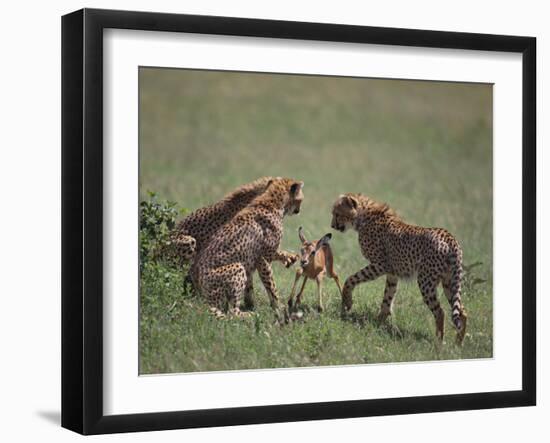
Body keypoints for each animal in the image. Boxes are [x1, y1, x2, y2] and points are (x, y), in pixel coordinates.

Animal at [195, 178, 306, 320]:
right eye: (300, 199)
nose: (299, 209)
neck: (272, 201)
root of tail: (205, 299)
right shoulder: (264, 258)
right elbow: (271, 285)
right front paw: (279, 306)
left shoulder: (261, 256)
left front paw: (289, 257)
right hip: (237, 267)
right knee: (232, 311)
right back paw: (248, 314)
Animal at [334, 193, 468, 344]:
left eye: (337, 214)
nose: (332, 225)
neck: (363, 215)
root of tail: (448, 236)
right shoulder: (392, 272)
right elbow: (388, 297)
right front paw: (378, 322)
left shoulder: (380, 265)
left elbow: (351, 279)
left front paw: (347, 301)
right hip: (449, 282)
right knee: (462, 312)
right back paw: (458, 343)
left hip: (425, 282)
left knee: (440, 312)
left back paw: (439, 343)